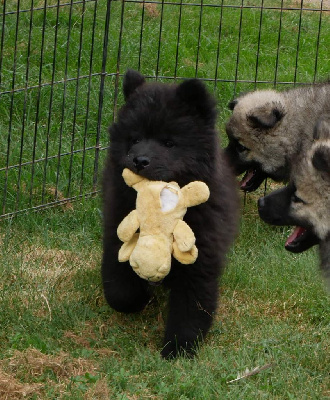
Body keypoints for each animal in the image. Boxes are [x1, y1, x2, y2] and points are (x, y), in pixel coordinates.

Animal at [102, 69, 238, 360]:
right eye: (135, 139)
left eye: (168, 142)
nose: (139, 160)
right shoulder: (116, 225)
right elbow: (119, 289)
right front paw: (139, 298)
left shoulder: (202, 252)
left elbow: (191, 303)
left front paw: (178, 348)